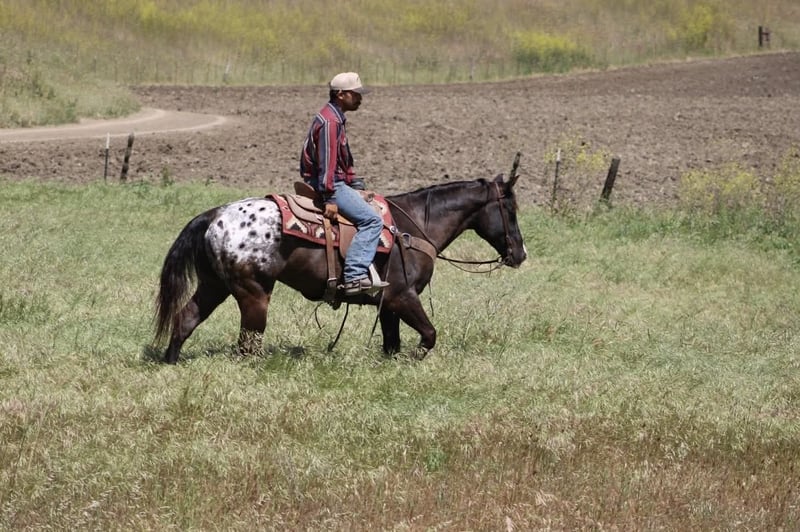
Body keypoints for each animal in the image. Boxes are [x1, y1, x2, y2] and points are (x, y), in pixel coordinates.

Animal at [153, 172, 527, 363]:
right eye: (510, 210)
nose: (520, 254)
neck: (415, 225)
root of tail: (214, 215)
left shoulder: (387, 304)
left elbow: (391, 344)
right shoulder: (404, 297)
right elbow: (430, 335)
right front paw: (416, 358)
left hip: (214, 286)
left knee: (186, 319)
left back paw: (170, 361)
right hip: (253, 293)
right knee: (248, 342)